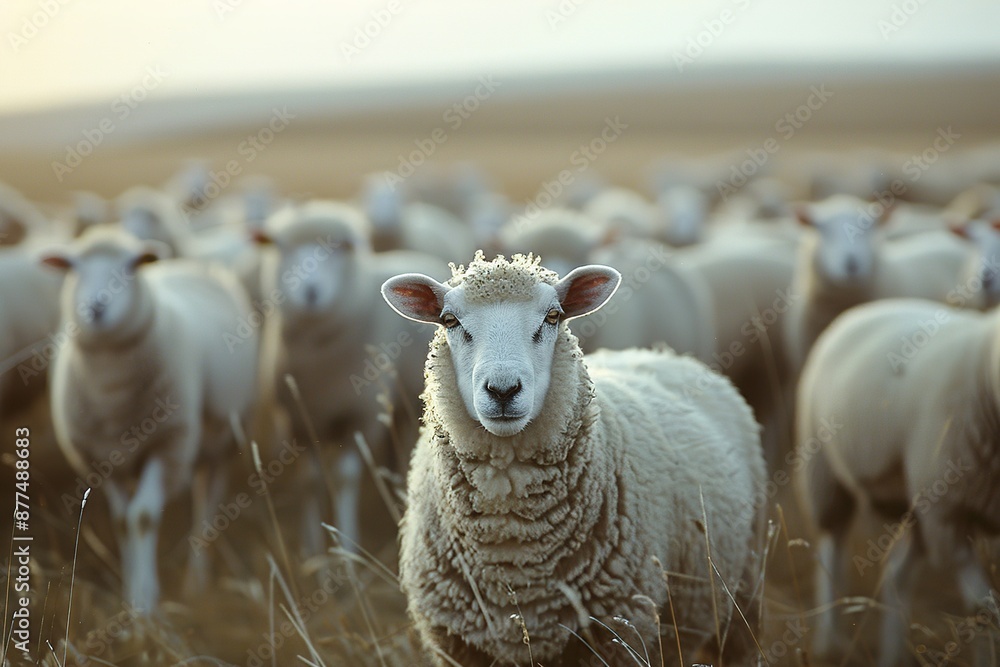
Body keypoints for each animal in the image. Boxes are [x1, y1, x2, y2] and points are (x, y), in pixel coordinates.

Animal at [41, 225, 259, 612]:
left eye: (130, 267)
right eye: (74, 268)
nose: (97, 308)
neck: (110, 391)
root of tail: (190, 265)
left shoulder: (167, 444)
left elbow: (142, 518)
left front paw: (145, 604)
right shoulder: (98, 460)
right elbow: (121, 522)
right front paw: (129, 596)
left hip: (223, 439)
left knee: (207, 503)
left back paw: (196, 581)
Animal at [253, 200, 447, 554]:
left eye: (340, 249)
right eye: (282, 247)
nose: (310, 292)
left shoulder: (360, 415)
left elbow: (344, 480)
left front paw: (346, 548)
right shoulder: (300, 420)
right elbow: (309, 483)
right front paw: (311, 550)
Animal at [382, 251, 766, 667]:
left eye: (553, 316)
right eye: (450, 321)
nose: (503, 390)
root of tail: (658, 353)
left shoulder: (619, 635)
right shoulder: (458, 645)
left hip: (745, 586)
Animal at [795, 297, 1000, 666]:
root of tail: (870, 306)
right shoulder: (948, 516)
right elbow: (982, 609)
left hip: (914, 503)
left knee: (895, 574)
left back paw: (891, 655)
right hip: (826, 473)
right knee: (832, 547)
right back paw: (830, 641)